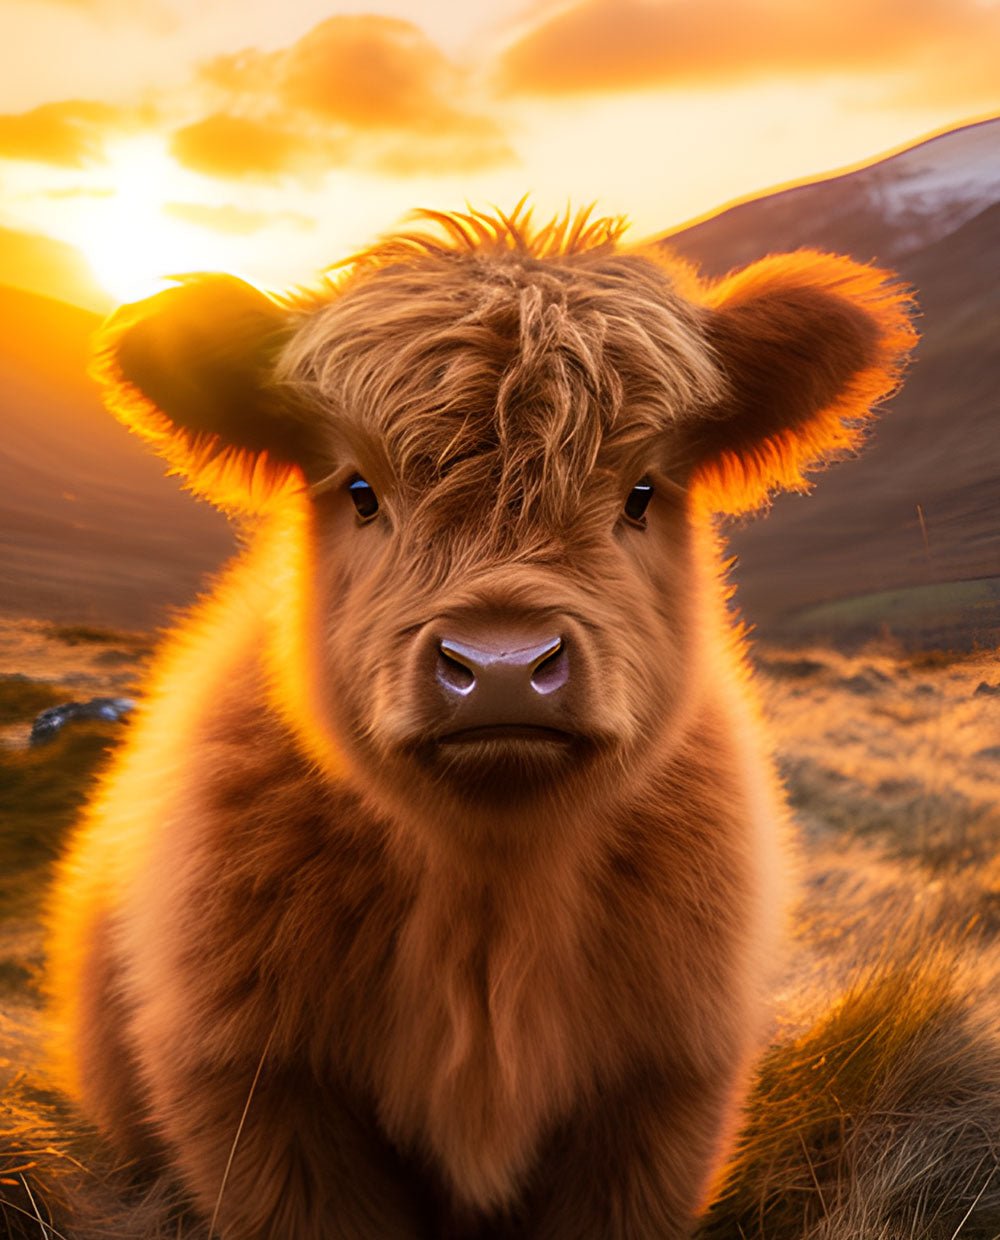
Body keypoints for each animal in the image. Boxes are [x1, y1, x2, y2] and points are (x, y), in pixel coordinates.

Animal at [45, 206, 914, 1239]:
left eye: (641, 493)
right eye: (360, 491)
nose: (503, 669)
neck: (492, 893)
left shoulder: (660, 1095)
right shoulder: (263, 1091)